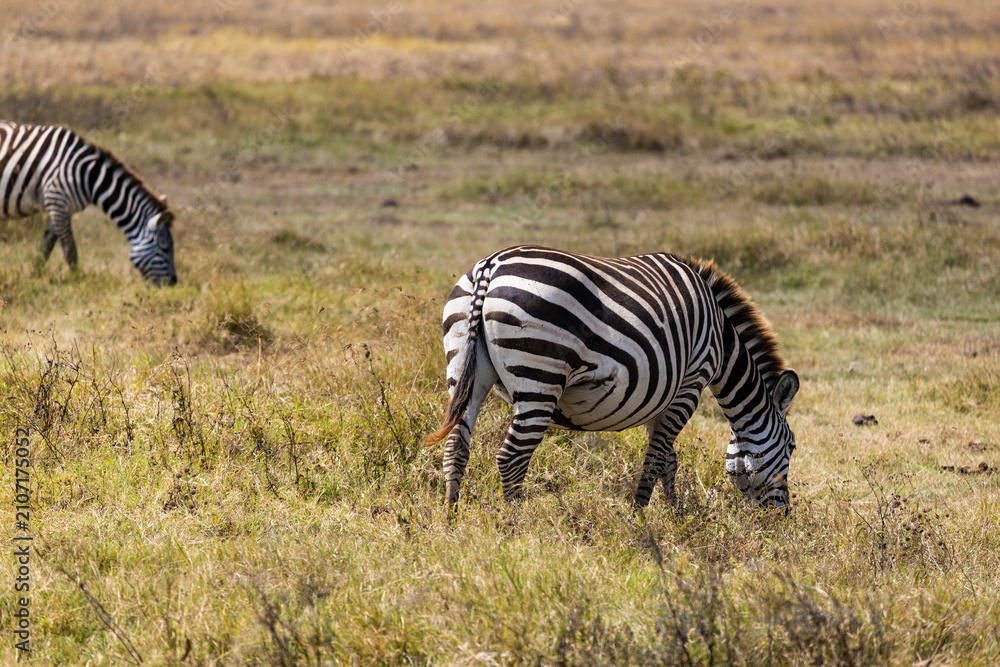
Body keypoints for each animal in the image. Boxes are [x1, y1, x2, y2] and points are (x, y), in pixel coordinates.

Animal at [0, 121, 177, 285]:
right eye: (165, 248)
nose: (173, 283)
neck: (88, 176)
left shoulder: (59, 206)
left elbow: (46, 245)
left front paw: (35, 277)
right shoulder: (57, 202)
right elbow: (70, 250)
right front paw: (77, 281)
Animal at [426, 245, 800, 511]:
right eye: (792, 447)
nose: (782, 517)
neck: (721, 339)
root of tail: (490, 267)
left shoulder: (660, 395)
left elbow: (668, 460)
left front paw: (676, 516)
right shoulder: (691, 381)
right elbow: (656, 459)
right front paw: (641, 520)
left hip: (465, 369)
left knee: (456, 447)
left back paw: (451, 520)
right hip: (540, 375)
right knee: (512, 458)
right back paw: (514, 529)